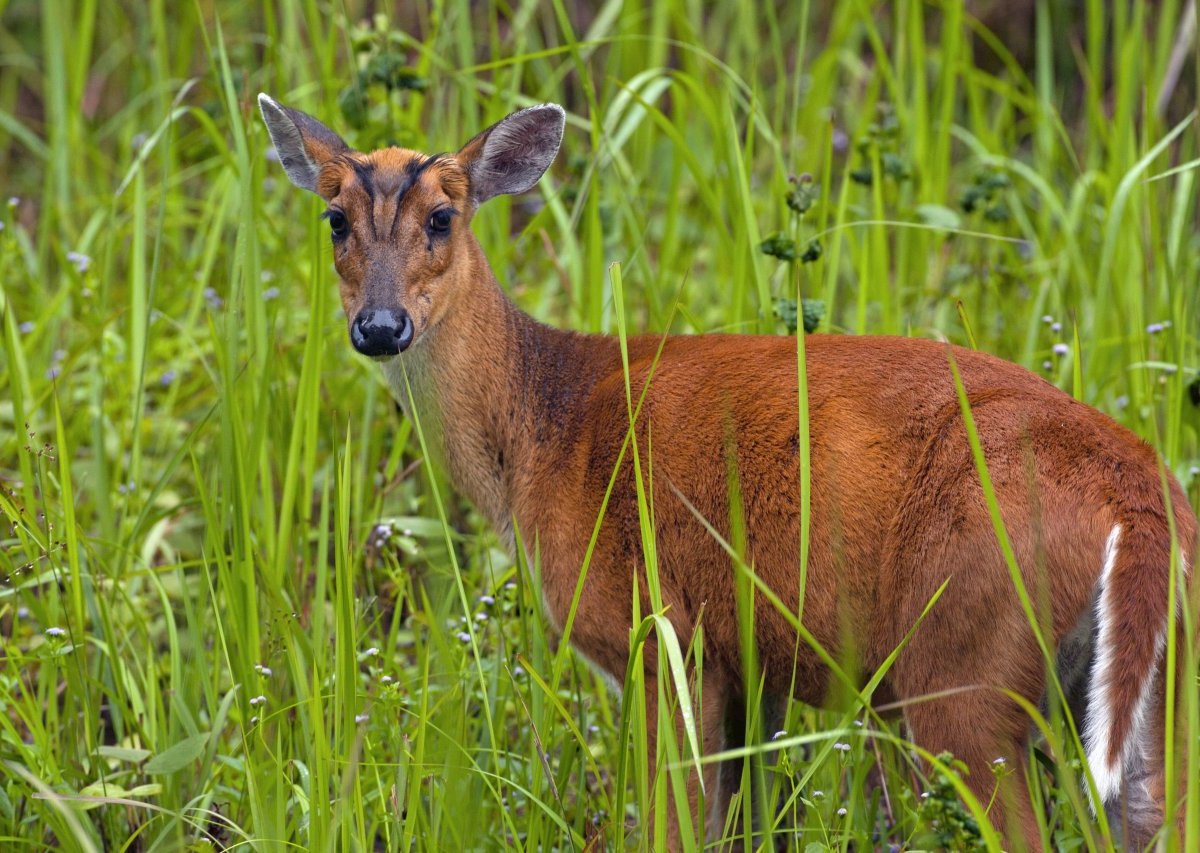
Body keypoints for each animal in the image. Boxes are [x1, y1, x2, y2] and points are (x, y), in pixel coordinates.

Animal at [258, 93, 1195, 849]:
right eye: (334, 217)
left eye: (444, 216)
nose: (381, 326)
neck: (544, 431)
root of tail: (1139, 497)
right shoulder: (752, 662)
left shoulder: (661, 632)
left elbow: (672, 824)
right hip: (1157, 678)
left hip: (963, 665)